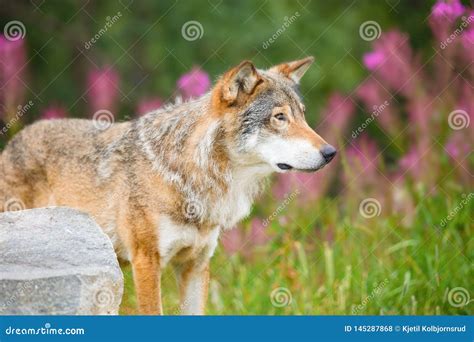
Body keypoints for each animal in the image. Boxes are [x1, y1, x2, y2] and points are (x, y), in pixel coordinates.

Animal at [0, 56, 336, 316]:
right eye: (279, 117)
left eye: (302, 116)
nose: (331, 152)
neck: (193, 175)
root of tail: (14, 140)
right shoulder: (147, 261)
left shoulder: (196, 264)